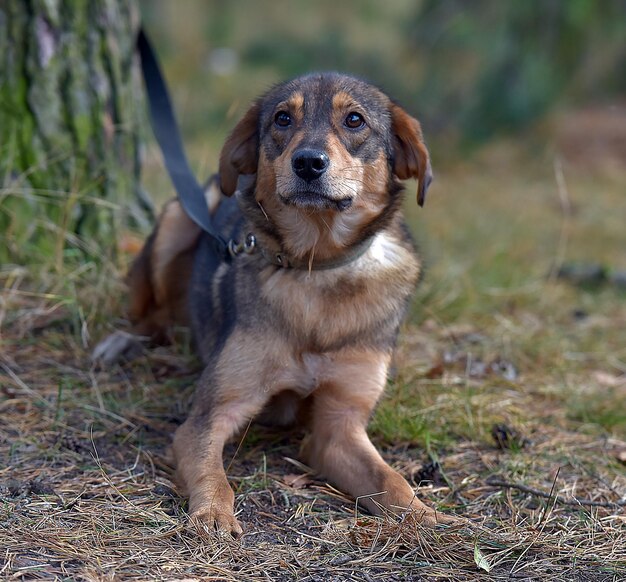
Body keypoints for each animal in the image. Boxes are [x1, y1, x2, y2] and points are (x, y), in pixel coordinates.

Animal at [94, 73, 454, 540]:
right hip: (176, 221)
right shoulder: (212, 413)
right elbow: (214, 473)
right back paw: (120, 343)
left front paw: (426, 517)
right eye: (283, 118)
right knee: (149, 318)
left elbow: (390, 479)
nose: (308, 163)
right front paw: (213, 513)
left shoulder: (338, 428)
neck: (316, 268)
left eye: (355, 120)